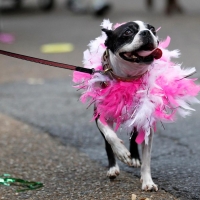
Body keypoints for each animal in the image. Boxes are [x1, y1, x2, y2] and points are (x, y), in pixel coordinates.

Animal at [95, 21, 161, 191]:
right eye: (128, 32)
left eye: (152, 29)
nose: (146, 32)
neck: (128, 78)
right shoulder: (99, 115)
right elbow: (110, 136)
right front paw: (122, 152)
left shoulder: (146, 120)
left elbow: (147, 158)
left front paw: (148, 181)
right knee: (108, 142)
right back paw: (113, 168)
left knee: (134, 135)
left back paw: (135, 158)